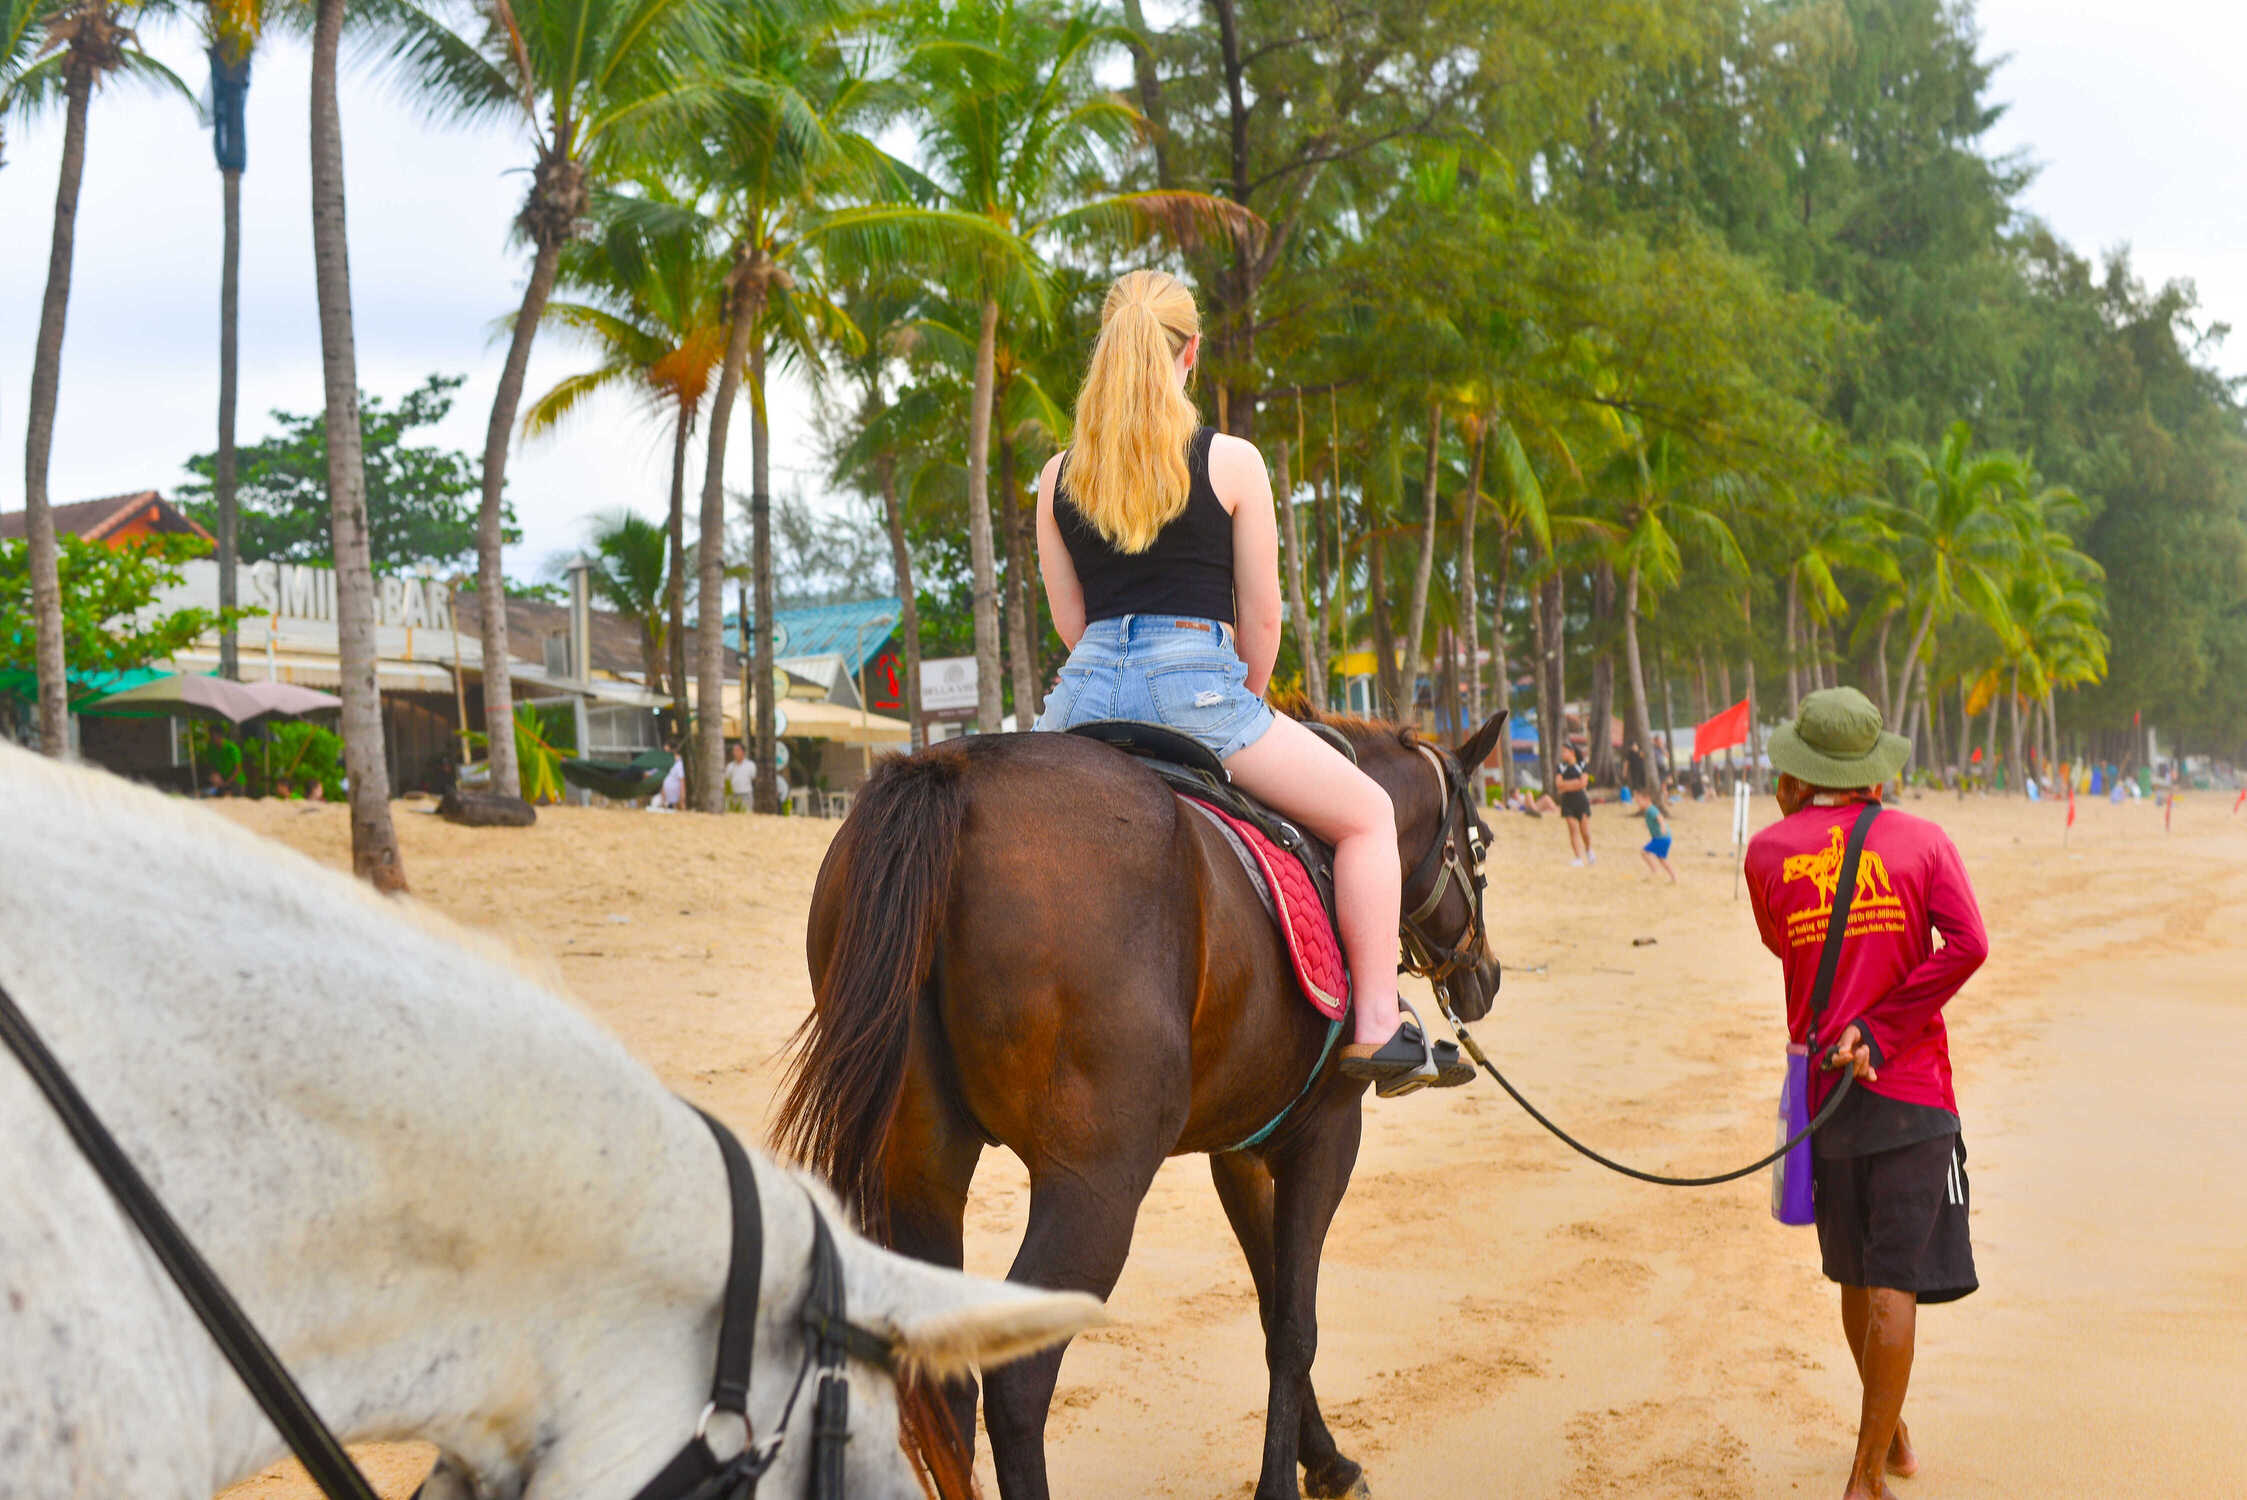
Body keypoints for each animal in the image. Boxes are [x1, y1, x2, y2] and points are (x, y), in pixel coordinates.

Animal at [777, 705, 1509, 1500]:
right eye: (1481, 845)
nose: (1487, 975)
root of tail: (953, 773)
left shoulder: (1239, 1150)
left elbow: (1270, 1303)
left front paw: (1324, 1457)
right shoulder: (1325, 1137)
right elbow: (1294, 1326)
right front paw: (1290, 1479)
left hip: (919, 1171)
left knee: (943, 1382)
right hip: (1097, 1186)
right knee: (1017, 1383)